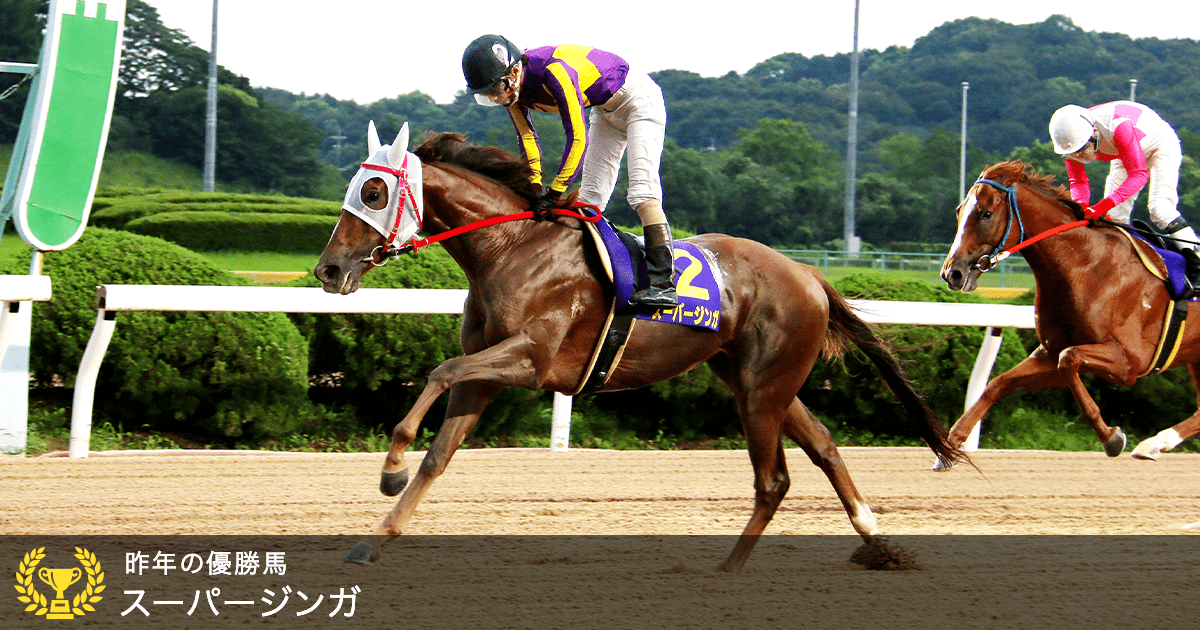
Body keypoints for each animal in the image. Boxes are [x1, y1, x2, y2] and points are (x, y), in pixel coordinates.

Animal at [314, 122, 965, 573]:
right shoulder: (488, 372)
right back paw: (876, 542)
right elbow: (439, 453)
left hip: (762, 389)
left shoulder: (532, 360)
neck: (511, 247)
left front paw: (390, 470)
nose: (327, 269)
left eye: (373, 191)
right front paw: (375, 537)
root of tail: (808, 274)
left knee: (774, 478)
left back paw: (727, 569)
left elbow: (440, 371)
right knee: (826, 447)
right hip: (757, 380)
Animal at [940, 159, 1200, 462]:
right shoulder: (1049, 353)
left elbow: (1070, 359)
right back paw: (1155, 444)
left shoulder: (1130, 361)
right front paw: (949, 446)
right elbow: (998, 383)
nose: (952, 273)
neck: (1084, 265)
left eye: (985, 214)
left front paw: (1111, 437)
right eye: (959, 211)